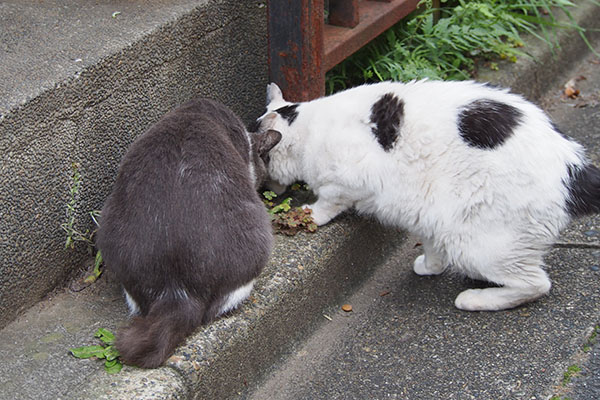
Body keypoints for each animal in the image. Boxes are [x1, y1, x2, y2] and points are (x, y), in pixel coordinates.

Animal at [254, 80, 600, 312]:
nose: (264, 191)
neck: (308, 128)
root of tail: (575, 168)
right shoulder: (428, 216)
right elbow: (432, 244)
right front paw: (431, 266)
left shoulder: (346, 181)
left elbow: (329, 201)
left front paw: (309, 214)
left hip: (480, 245)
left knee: (536, 284)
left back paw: (475, 299)